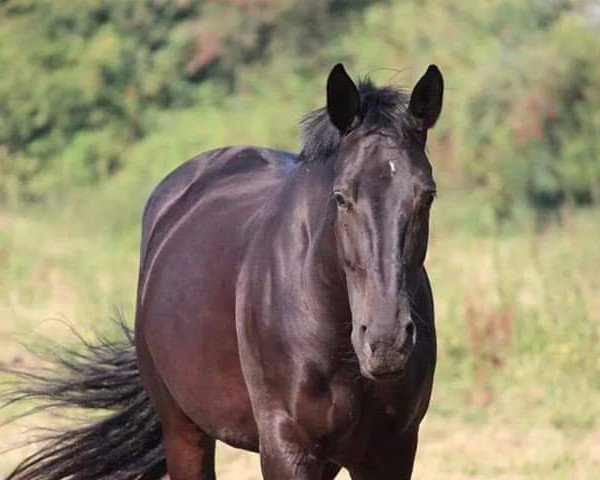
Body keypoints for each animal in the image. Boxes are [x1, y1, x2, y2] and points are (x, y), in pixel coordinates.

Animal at [0, 63, 440, 480]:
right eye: (341, 197)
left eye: (427, 196)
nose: (385, 341)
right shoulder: (286, 448)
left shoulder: (391, 452)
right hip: (183, 430)